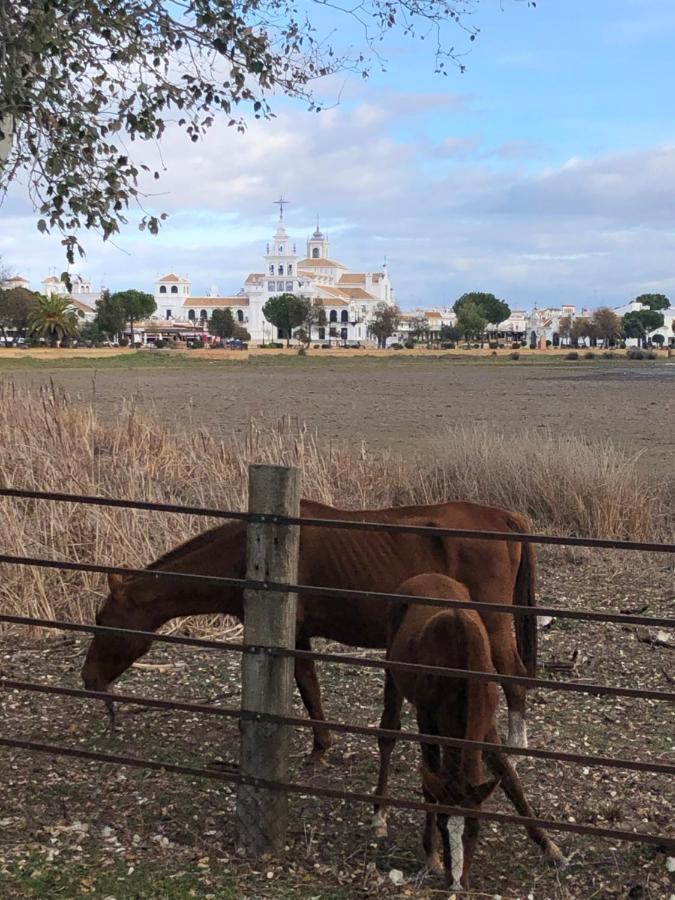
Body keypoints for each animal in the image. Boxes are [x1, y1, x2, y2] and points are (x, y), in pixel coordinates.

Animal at [82, 496, 540, 756]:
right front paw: (322, 744)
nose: (88, 679)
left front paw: (319, 748)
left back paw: (516, 748)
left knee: (514, 677)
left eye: (103, 620)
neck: (248, 553)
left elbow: (305, 684)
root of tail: (504, 519)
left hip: (494, 622)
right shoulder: (298, 635)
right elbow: (309, 685)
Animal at [372, 572, 564, 888]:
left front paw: (549, 846)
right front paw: (431, 856)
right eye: (441, 824)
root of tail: (422, 577)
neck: (461, 665)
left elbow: (508, 775)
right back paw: (379, 816)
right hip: (392, 671)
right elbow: (430, 783)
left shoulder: (486, 726)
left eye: (475, 827)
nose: (457, 882)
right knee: (388, 733)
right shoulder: (428, 724)